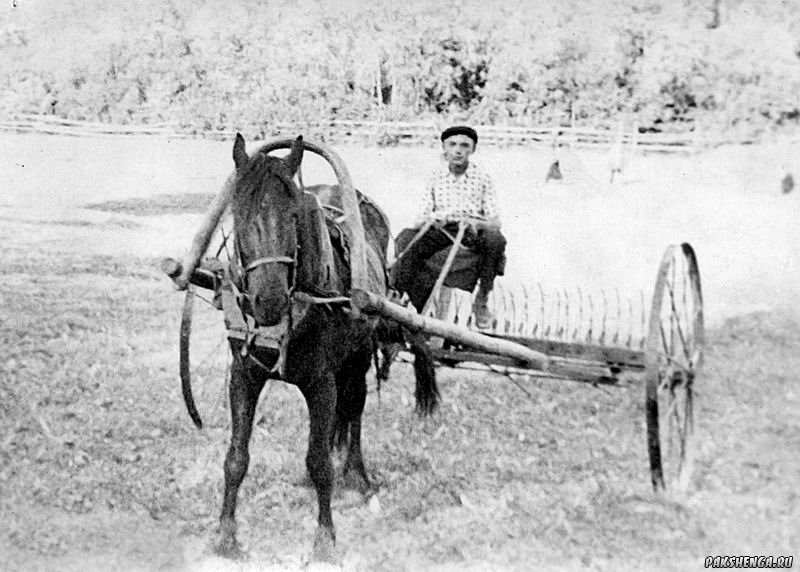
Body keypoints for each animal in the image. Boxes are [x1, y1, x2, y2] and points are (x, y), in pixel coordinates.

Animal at [212, 135, 438, 564]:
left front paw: (325, 541)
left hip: (358, 357)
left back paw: (357, 474)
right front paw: (227, 536)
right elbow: (236, 458)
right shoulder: (243, 375)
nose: (268, 301)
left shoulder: (321, 382)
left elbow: (320, 462)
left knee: (355, 409)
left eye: (293, 214)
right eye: (238, 212)